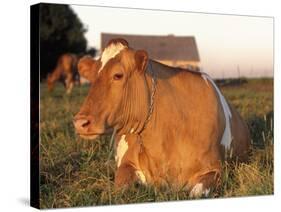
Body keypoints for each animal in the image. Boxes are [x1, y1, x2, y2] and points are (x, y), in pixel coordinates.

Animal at [72, 39, 249, 198]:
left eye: (118, 75)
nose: (80, 122)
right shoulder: (127, 164)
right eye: (91, 78)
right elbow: (120, 188)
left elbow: (196, 193)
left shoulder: (215, 169)